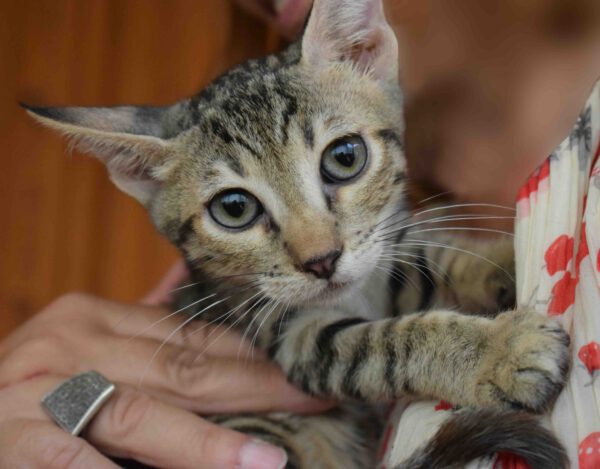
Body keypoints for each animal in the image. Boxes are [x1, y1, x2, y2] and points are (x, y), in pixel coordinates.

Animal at [28, 0, 568, 466]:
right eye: (234, 209)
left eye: (345, 157)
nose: (321, 260)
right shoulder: (289, 337)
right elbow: (385, 344)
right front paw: (498, 353)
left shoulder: (379, 258)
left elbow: (437, 261)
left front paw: (502, 258)